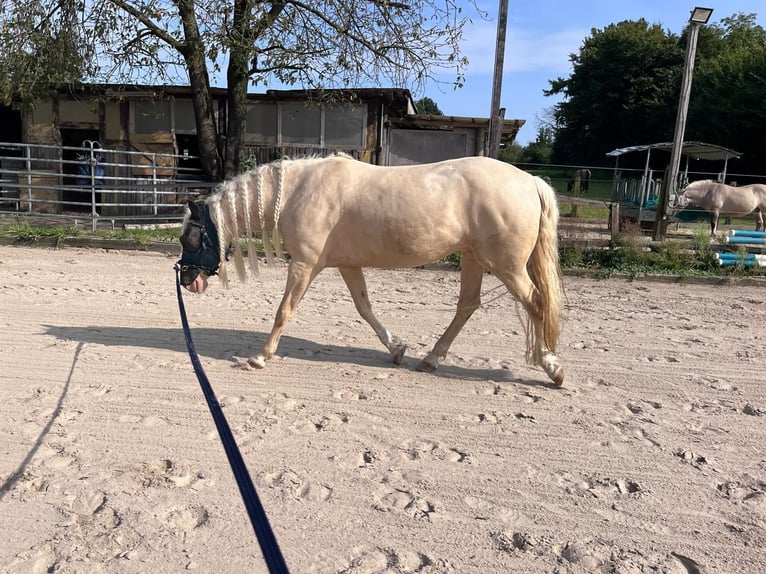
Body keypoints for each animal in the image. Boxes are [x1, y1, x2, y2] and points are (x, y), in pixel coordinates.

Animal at [178, 153, 564, 388]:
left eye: (190, 237)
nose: (185, 279)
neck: (298, 191)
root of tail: (530, 181)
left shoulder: (304, 264)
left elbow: (284, 310)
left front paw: (260, 357)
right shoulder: (348, 265)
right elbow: (364, 307)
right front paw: (396, 348)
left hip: (506, 266)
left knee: (536, 302)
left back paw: (552, 367)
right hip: (473, 257)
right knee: (468, 304)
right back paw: (430, 359)